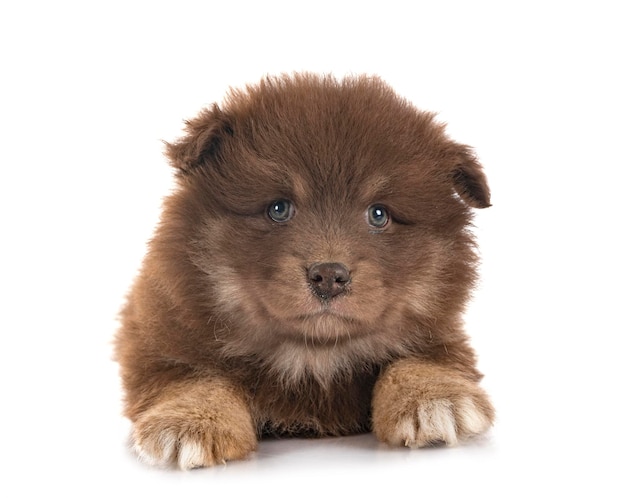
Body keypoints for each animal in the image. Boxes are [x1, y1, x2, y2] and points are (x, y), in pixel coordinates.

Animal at [114, 72, 490, 468]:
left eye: (378, 214)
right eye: (279, 208)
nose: (329, 276)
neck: (312, 357)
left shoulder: (439, 334)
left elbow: (416, 360)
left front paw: (435, 398)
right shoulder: (158, 337)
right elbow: (194, 376)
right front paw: (192, 421)